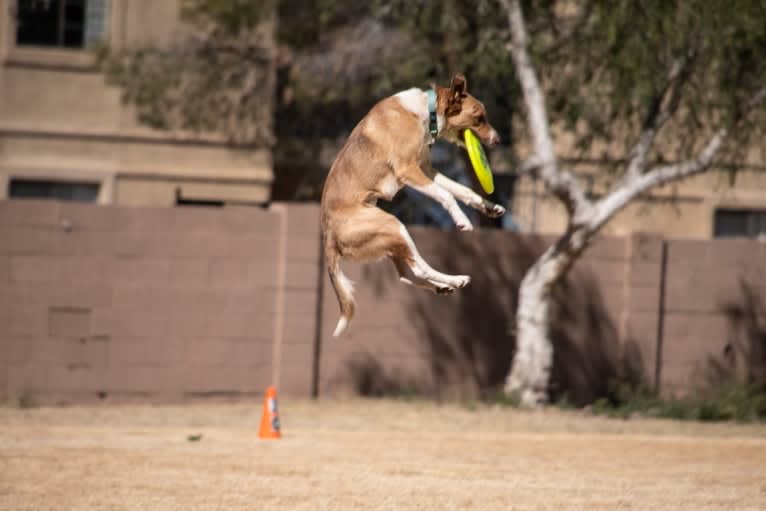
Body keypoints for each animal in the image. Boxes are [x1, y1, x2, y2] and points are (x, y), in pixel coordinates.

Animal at [320, 72, 508, 336]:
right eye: (479, 117)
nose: (498, 140)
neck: (426, 111)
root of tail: (329, 237)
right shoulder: (408, 171)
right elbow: (447, 196)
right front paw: (462, 220)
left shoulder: (427, 169)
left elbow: (462, 190)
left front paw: (489, 207)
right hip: (391, 224)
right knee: (419, 268)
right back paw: (456, 279)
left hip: (389, 241)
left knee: (405, 275)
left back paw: (443, 286)